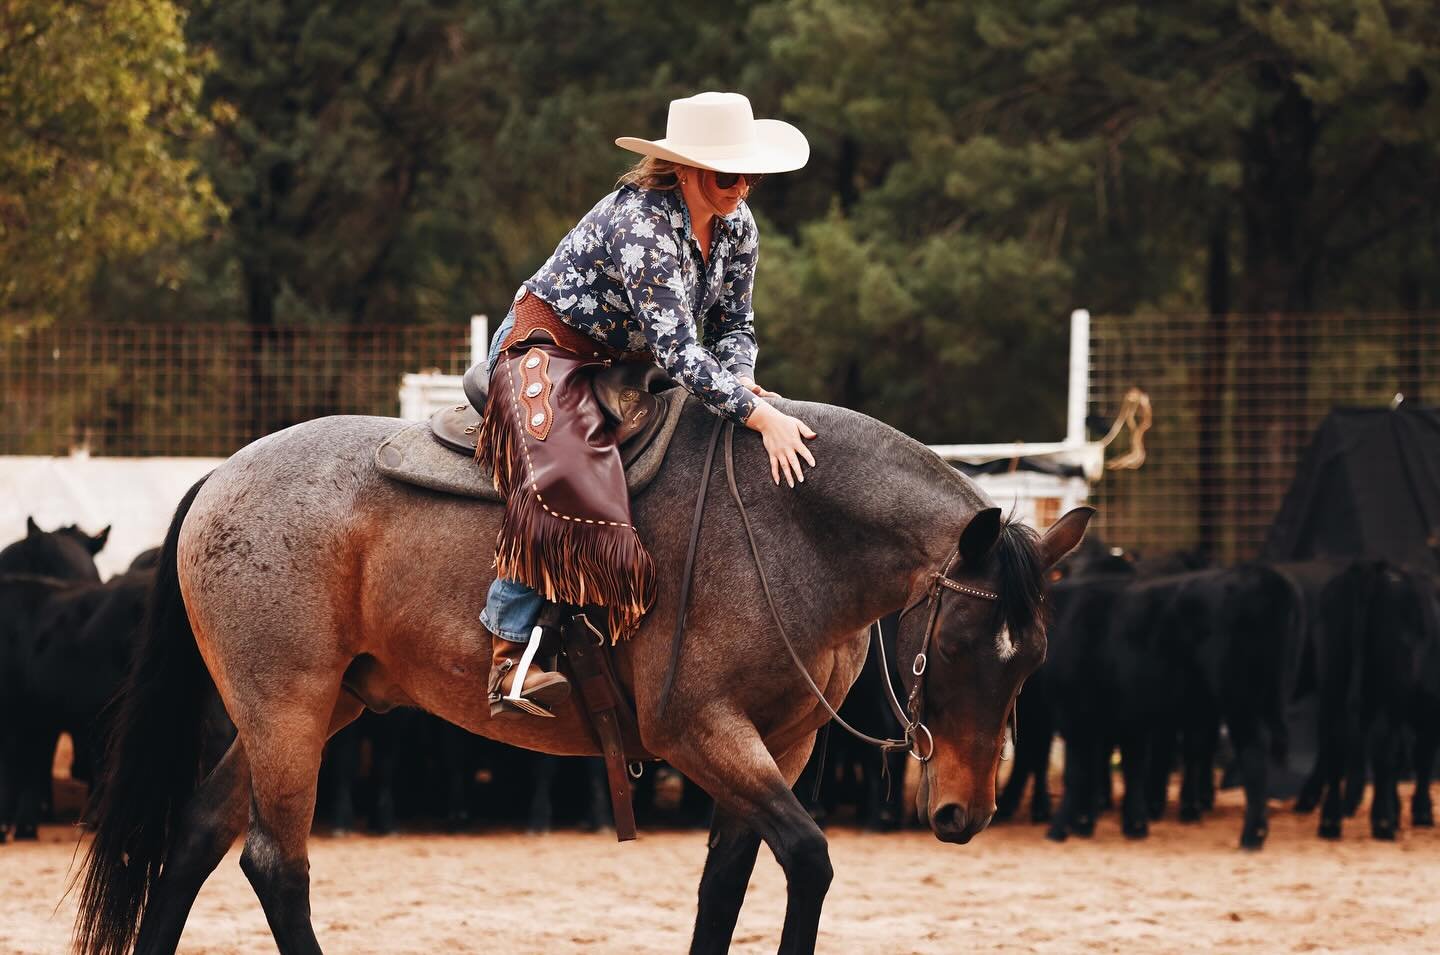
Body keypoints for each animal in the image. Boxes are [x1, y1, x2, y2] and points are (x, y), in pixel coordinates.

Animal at [73, 400, 1082, 955]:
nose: (963, 812)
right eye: (960, 644)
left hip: (315, 708)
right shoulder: (701, 731)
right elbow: (807, 858)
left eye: (1033, 657)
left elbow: (728, 882)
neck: (794, 532)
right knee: (275, 863)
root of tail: (219, 476)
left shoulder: (780, 748)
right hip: (286, 705)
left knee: (196, 837)